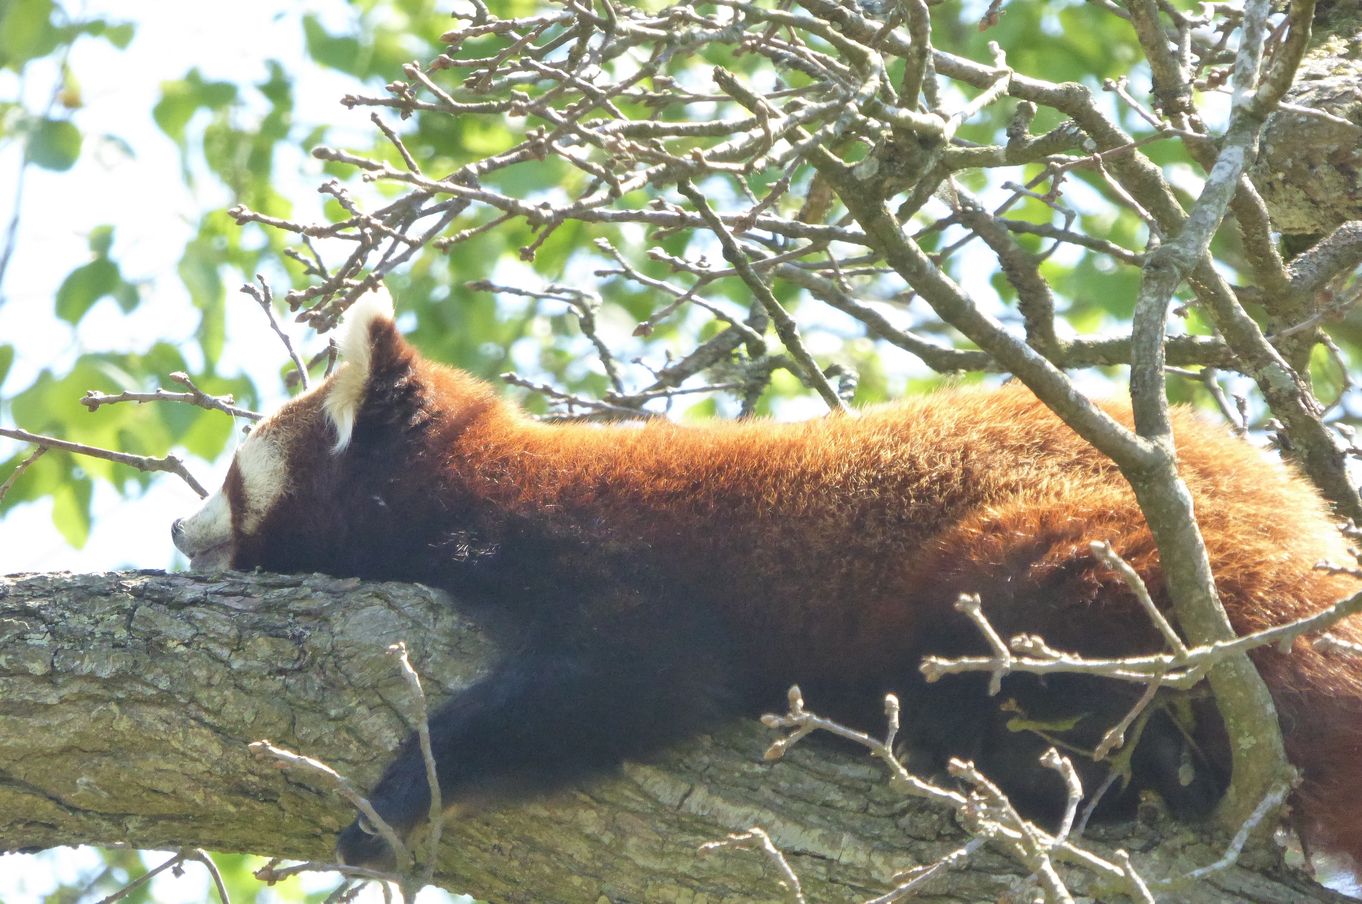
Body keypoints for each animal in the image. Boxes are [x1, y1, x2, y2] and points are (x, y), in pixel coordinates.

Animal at [172, 285, 1362, 871]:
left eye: (231, 472)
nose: (181, 530)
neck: (490, 491)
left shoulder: (626, 568)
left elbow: (621, 685)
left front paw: (394, 804)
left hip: (1076, 552)